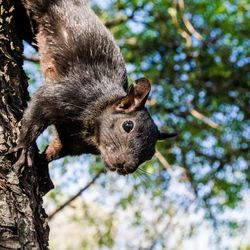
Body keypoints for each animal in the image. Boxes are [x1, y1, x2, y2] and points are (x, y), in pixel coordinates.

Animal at [11, 0, 176, 177]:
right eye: (128, 126)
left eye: (150, 154)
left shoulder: (71, 144)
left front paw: (42, 164)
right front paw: (24, 149)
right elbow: (36, 112)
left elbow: (55, 150)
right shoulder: (70, 93)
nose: (127, 167)